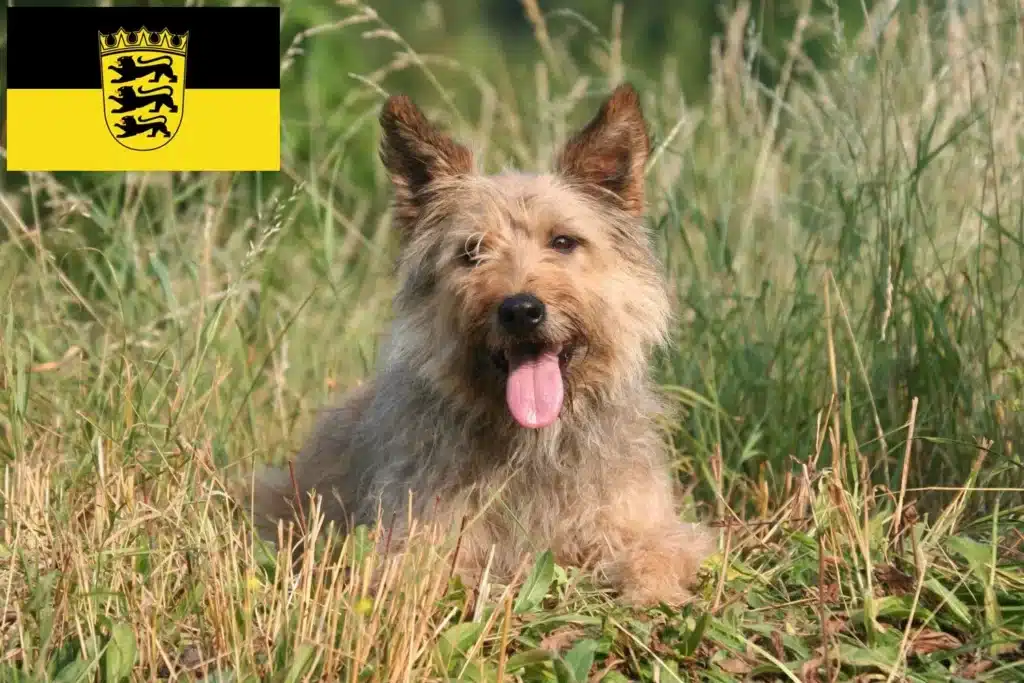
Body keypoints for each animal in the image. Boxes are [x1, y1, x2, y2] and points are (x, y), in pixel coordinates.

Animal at [249, 83, 712, 602]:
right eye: (471, 251)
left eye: (563, 241)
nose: (521, 310)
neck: (534, 443)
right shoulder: (409, 543)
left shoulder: (656, 527)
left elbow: (657, 555)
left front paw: (651, 593)